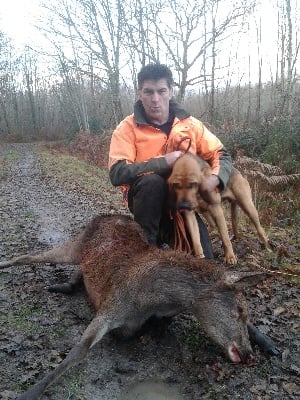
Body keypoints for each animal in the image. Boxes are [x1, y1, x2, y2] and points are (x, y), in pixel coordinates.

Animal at [0, 214, 276, 398]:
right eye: (240, 310)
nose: (248, 353)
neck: (155, 296)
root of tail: (104, 216)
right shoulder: (113, 304)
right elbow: (79, 351)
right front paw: (29, 393)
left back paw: (68, 284)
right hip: (76, 245)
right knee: (28, 256)